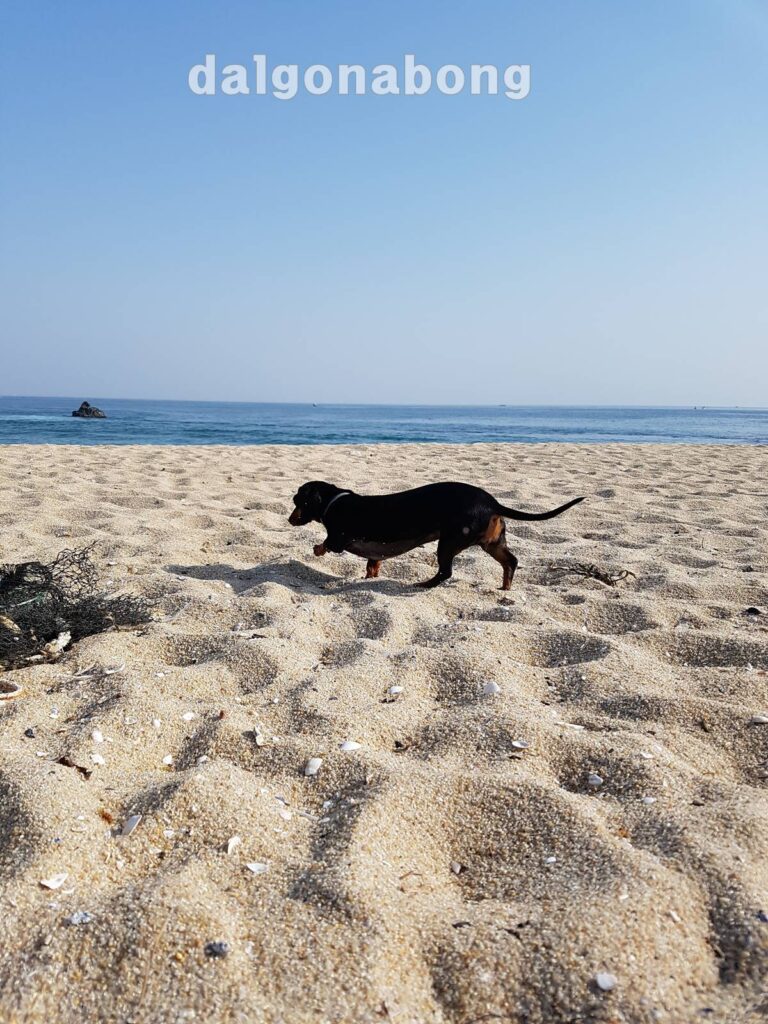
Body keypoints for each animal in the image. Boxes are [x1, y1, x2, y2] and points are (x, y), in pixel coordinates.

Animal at [286, 481, 581, 593]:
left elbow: (325, 544)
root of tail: (492, 502)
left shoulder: (339, 538)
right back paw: (505, 588)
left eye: (297, 501)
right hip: (492, 543)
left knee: (445, 572)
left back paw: (423, 584)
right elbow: (372, 565)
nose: (289, 519)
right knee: (511, 561)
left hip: (448, 542)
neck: (333, 502)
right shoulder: (374, 554)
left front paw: (316, 549)